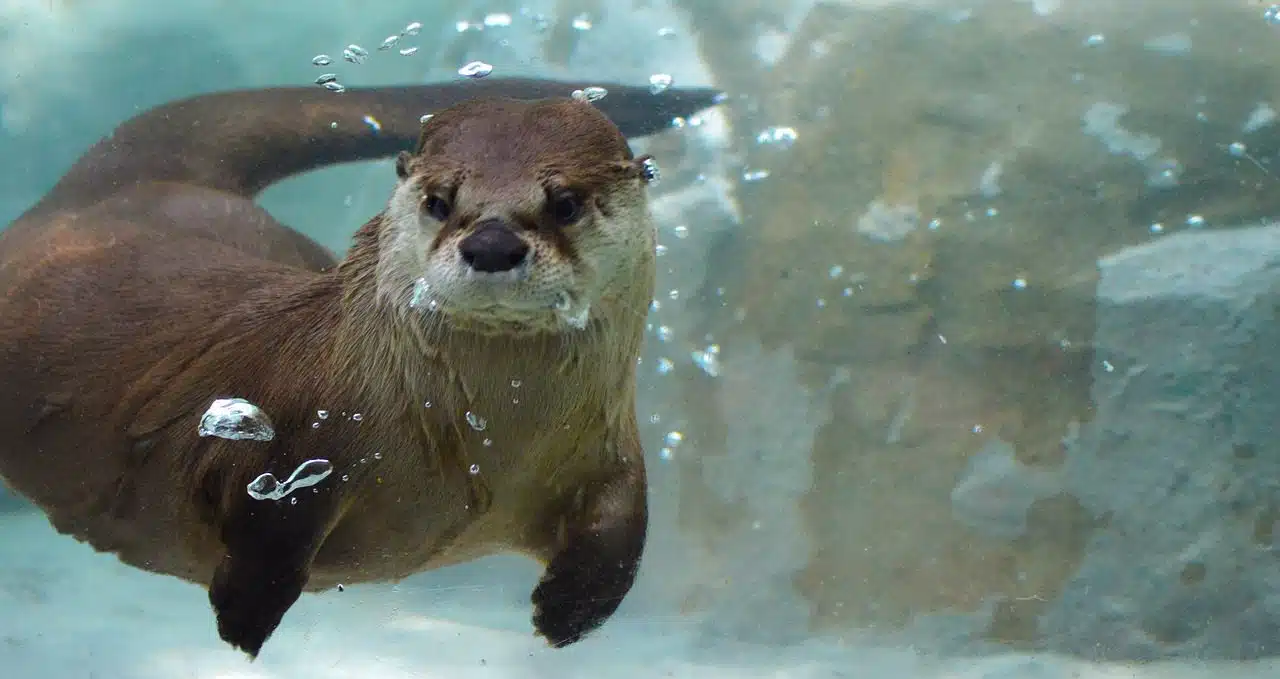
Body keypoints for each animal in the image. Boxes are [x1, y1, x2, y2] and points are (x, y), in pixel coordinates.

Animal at [0, 77, 721, 655]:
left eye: (565, 202)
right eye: (439, 200)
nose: (492, 243)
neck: (485, 446)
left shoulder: (607, 448)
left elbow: (623, 530)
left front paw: (568, 612)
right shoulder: (290, 432)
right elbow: (268, 522)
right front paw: (245, 614)